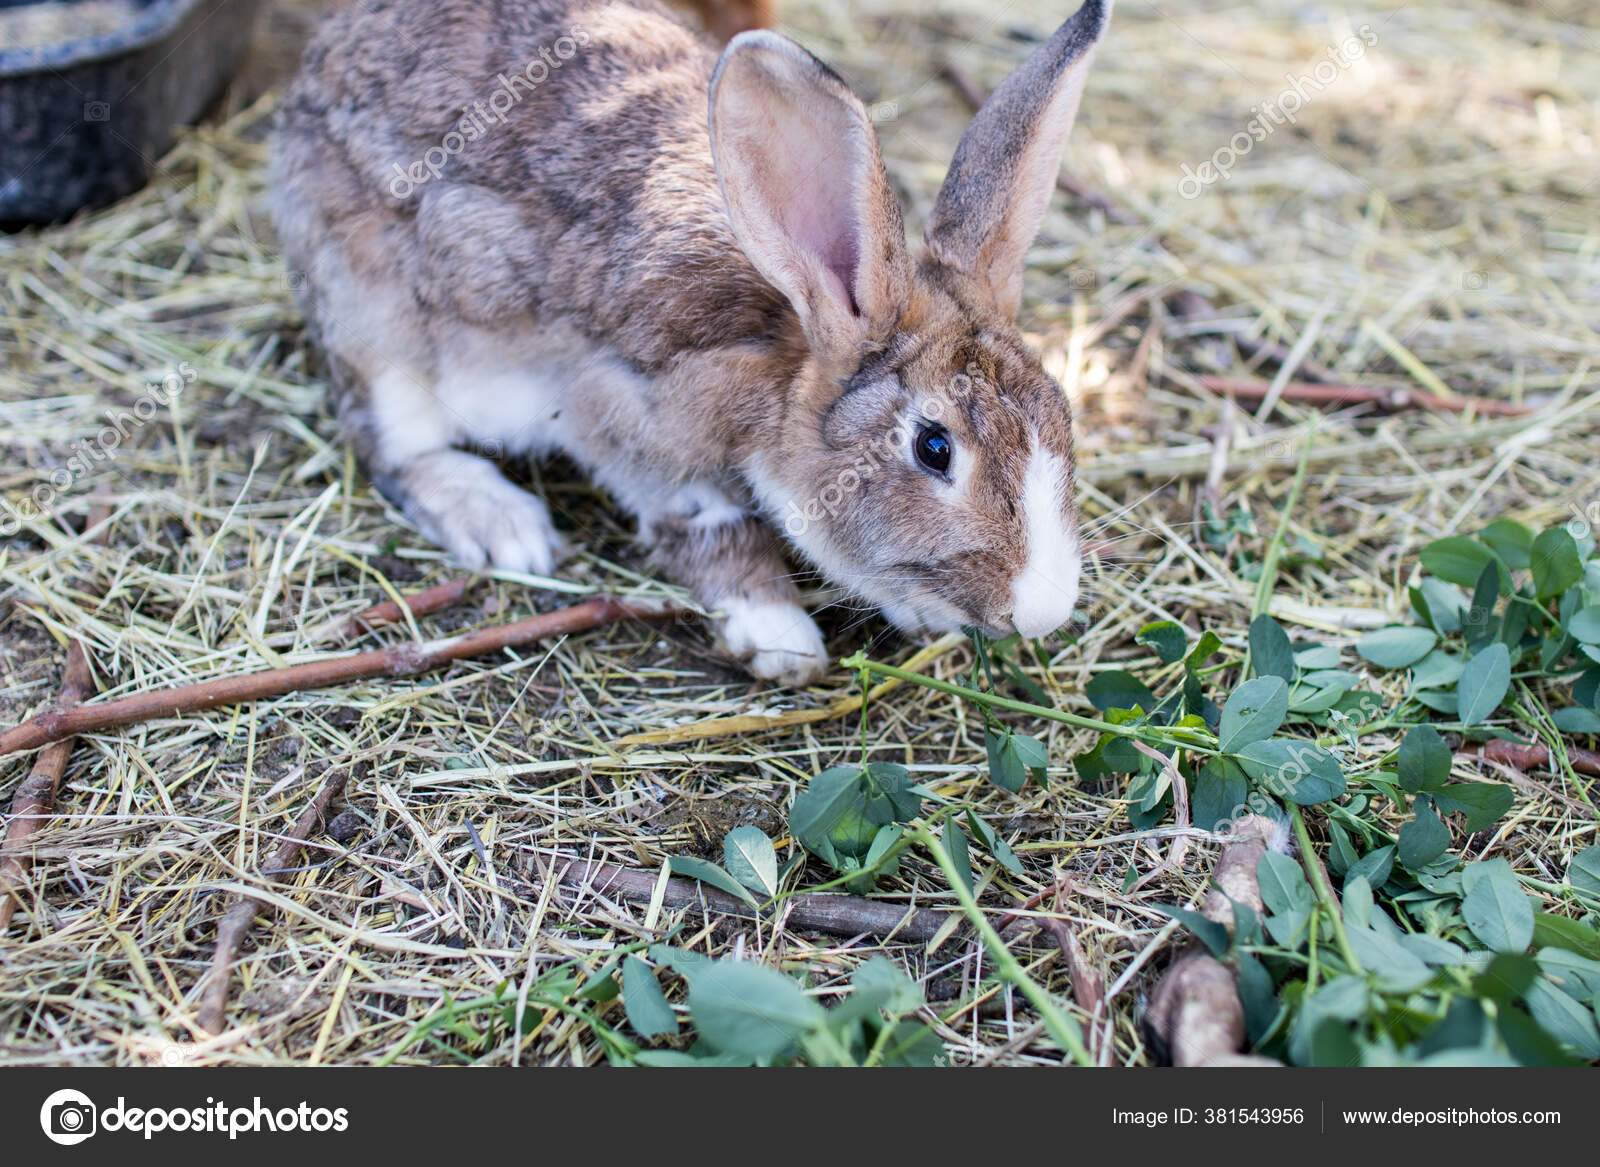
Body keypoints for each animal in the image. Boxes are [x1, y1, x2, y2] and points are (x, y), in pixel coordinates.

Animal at [270, 0, 1111, 685]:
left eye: (1063, 415)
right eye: (934, 448)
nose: (1043, 612)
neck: (785, 342)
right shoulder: (625, 416)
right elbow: (706, 522)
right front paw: (777, 633)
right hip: (379, 328)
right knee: (391, 445)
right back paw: (505, 525)